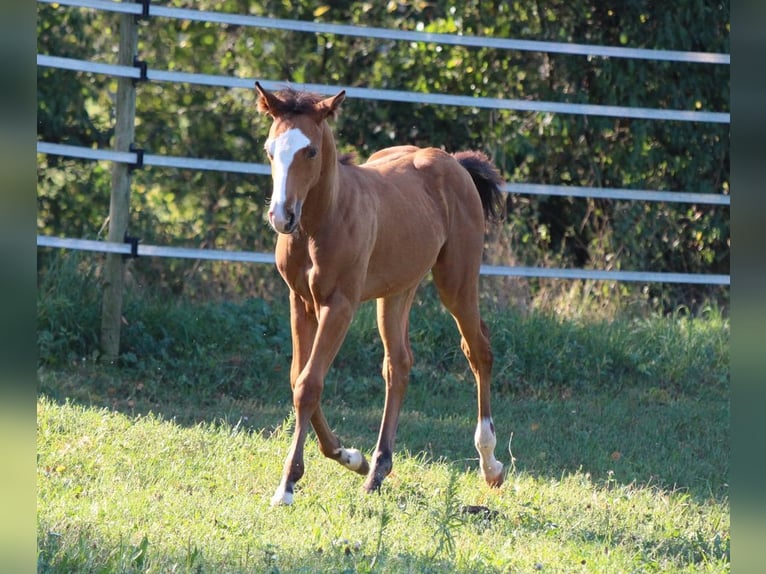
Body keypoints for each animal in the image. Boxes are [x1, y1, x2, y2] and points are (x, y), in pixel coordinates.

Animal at [255, 83, 508, 506]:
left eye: (311, 151)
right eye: (270, 150)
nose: (281, 217)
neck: (319, 224)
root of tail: (454, 162)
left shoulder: (339, 305)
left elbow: (309, 384)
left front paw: (287, 484)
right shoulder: (300, 302)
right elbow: (299, 378)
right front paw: (350, 457)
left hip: (456, 281)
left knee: (478, 350)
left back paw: (490, 465)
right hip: (397, 291)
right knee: (398, 365)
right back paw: (376, 470)